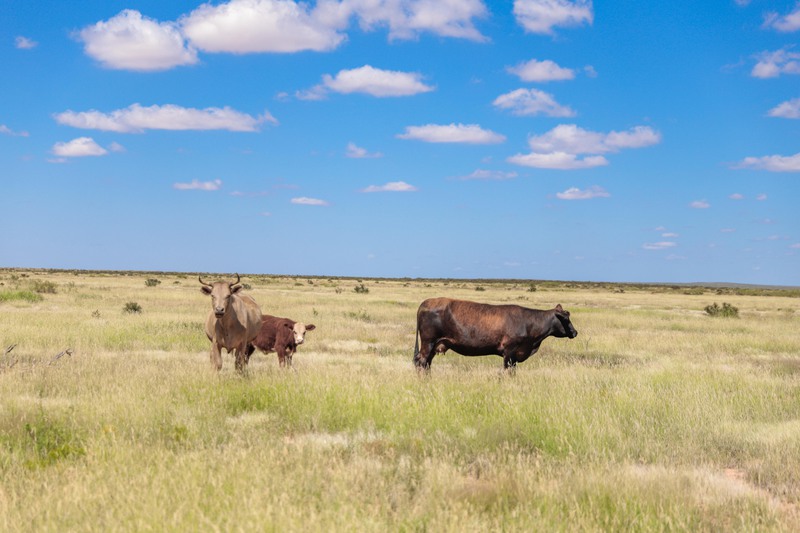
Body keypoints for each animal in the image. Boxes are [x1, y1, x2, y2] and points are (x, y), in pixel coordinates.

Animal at [412, 296, 576, 370]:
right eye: (566, 319)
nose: (575, 332)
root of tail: (425, 303)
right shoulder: (509, 352)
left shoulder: (514, 357)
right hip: (428, 342)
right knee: (422, 362)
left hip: (434, 345)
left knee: (427, 363)